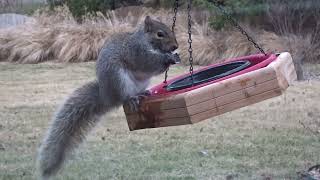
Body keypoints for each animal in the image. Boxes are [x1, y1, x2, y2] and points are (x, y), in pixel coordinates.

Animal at [37, 16, 180, 179]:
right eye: (160, 34)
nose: (175, 46)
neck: (144, 40)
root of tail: (106, 96)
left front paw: (175, 56)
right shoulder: (137, 52)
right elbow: (149, 62)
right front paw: (168, 58)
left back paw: (143, 93)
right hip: (118, 79)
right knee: (123, 98)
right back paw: (132, 98)